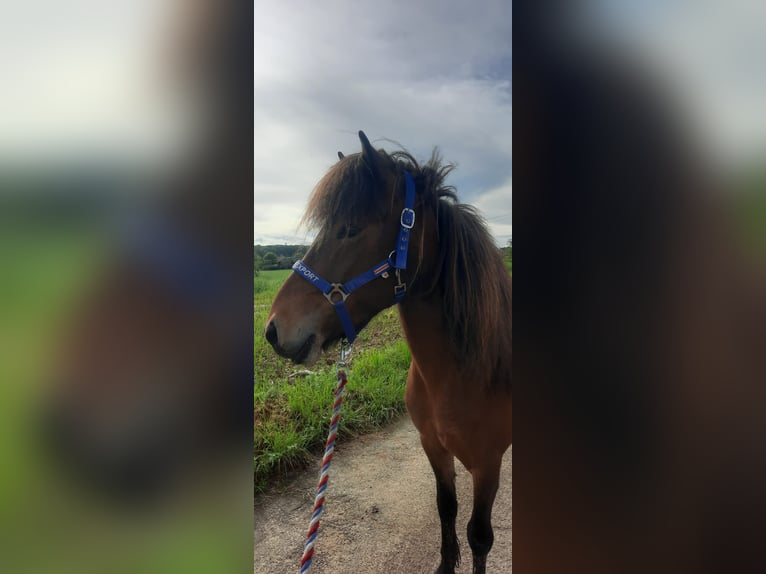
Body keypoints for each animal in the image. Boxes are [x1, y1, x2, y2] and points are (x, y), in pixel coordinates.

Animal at [268, 132, 512, 574]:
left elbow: (479, 536)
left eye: (350, 229)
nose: (274, 329)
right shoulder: (434, 447)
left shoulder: (488, 464)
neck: (463, 372)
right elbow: (446, 509)